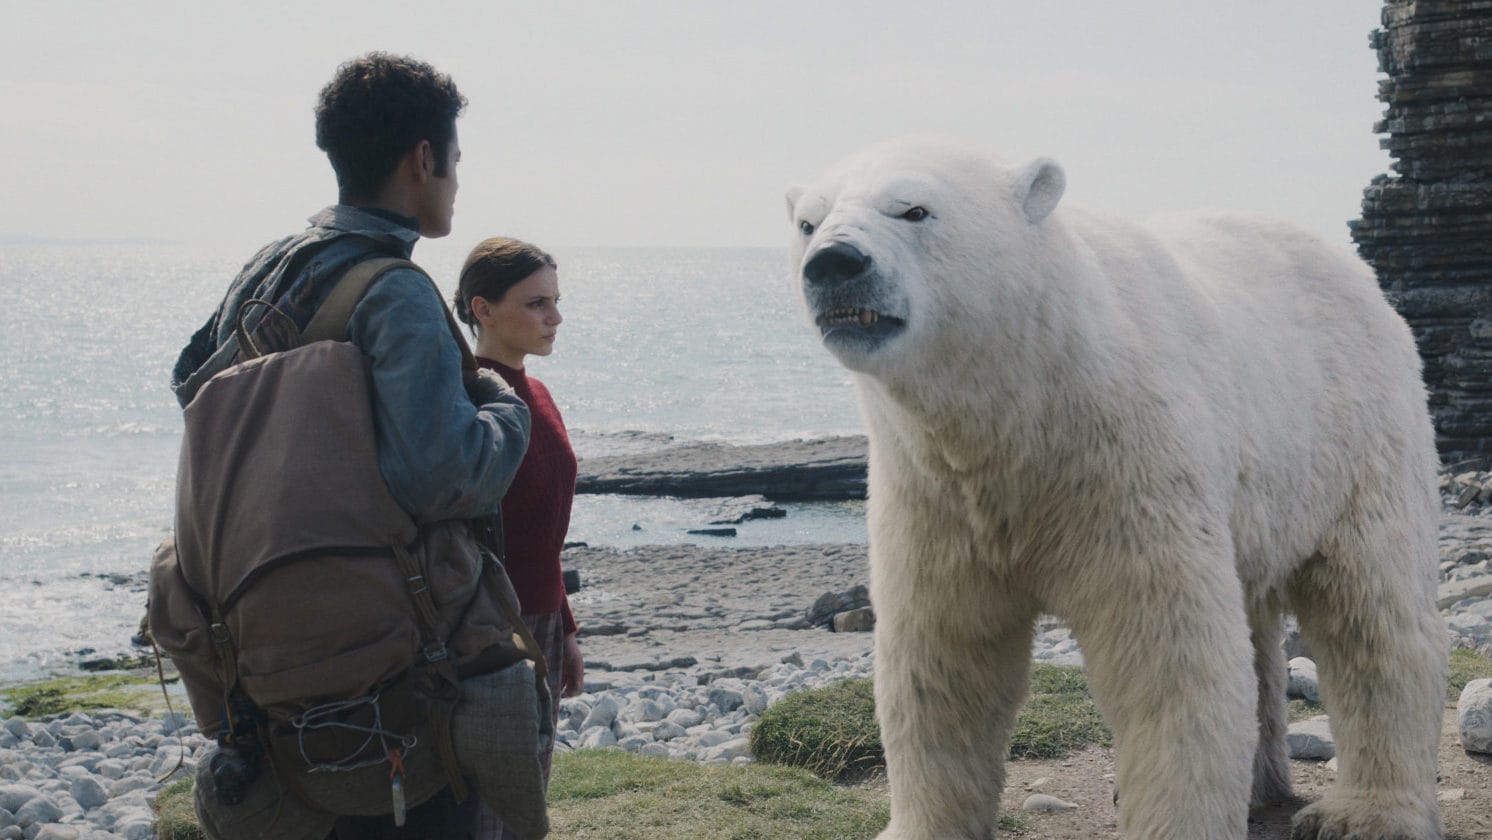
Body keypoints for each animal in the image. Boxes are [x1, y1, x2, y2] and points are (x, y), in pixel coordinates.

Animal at [786, 137, 1447, 839]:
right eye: (807, 222)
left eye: (914, 209)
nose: (834, 261)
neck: (1025, 403)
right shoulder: (933, 493)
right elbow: (944, 656)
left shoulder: (1125, 465)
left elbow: (1170, 655)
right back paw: (1260, 785)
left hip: (1353, 435)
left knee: (1372, 609)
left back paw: (1366, 813)